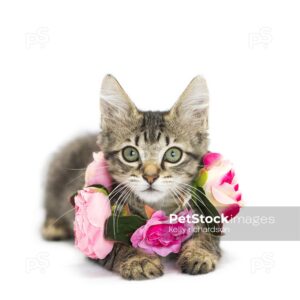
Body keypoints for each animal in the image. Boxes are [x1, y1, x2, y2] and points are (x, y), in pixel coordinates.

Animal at [41, 74, 220, 278]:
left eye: (173, 154)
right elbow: (120, 246)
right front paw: (139, 260)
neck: (155, 207)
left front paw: (199, 253)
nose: (150, 177)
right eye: (130, 153)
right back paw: (53, 227)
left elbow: (206, 237)